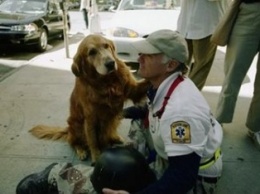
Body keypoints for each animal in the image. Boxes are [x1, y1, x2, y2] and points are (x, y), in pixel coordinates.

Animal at [29, 34, 149, 163]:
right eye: (92, 52)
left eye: (106, 46)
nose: (111, 63)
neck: (107, 83)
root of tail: (68, 129)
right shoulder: (91, 118)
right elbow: (93, 141)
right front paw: (96, 157)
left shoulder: (132, 90)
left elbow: (144, 83)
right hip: (76, 125)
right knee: (74, 142)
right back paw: (81, 151)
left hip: (116, 117)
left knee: (109, 131)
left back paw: (115, 137)